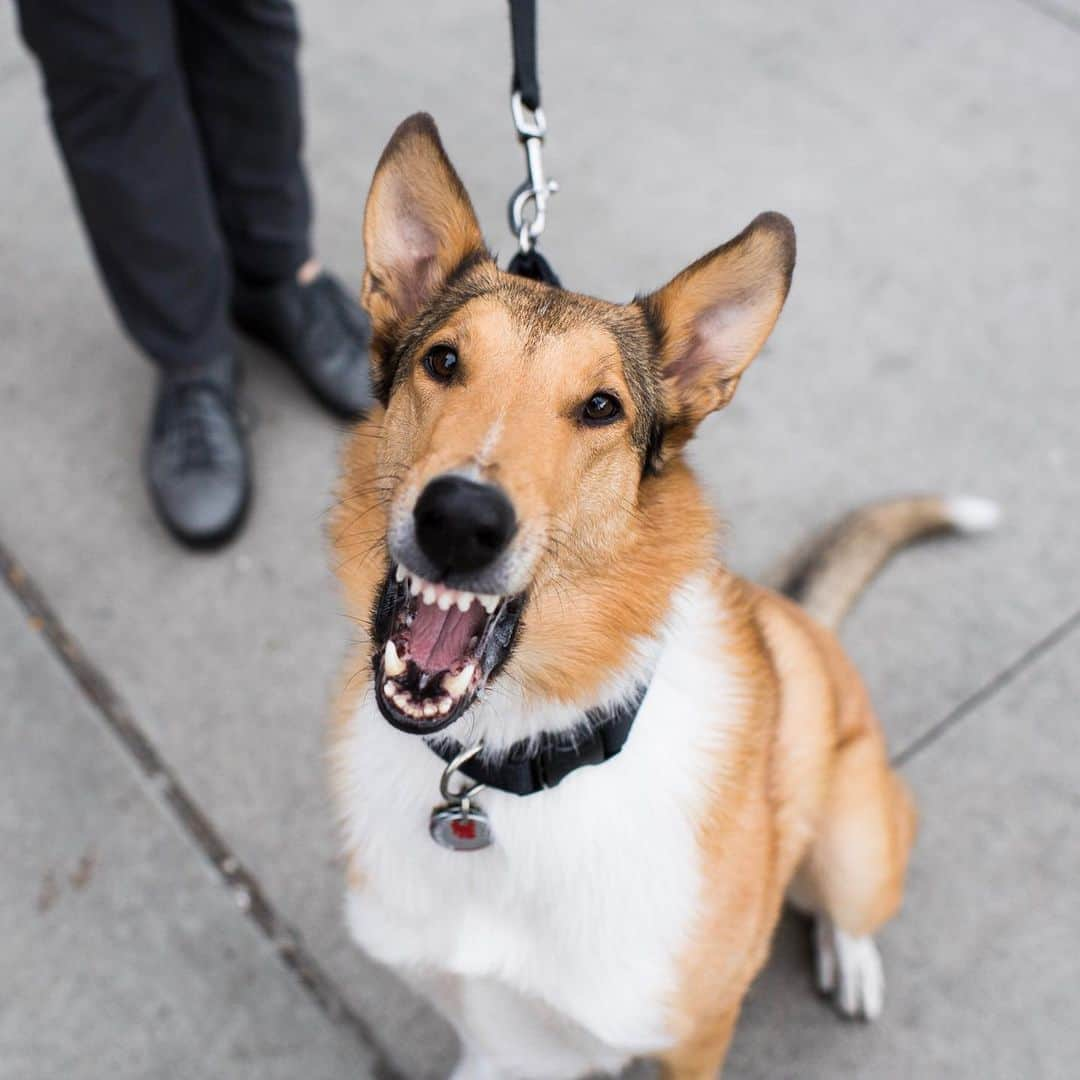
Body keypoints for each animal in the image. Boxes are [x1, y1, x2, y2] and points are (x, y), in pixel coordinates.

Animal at [326, 113, 993, 1075]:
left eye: (601, 408)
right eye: (443, 361)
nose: (460, 519)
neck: (515, 758)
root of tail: (807, 622)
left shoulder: (690, 1036)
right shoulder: (494, 1031)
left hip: (853, 842)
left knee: (851, 902)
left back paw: (851, 956)